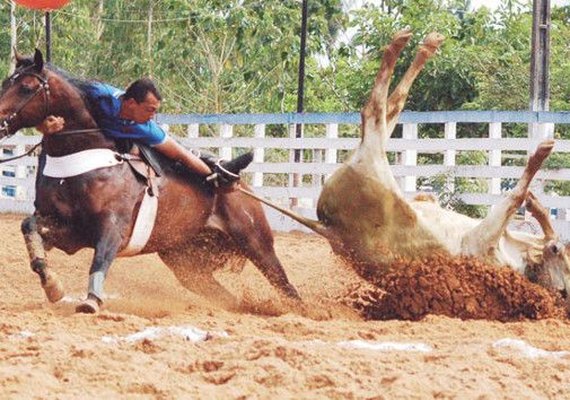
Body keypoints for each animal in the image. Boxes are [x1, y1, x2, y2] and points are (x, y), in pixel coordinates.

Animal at [0, 49, 300, 312]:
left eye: (26, 87)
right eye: (5, 82)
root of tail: (241, 187)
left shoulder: (112, 228)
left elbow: (101, 259)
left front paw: (91, 300)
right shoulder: (69, 229)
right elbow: (29, 229)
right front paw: (52, 286)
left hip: (257, 243)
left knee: (286, 287)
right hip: (185, 263)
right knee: (227, 298)